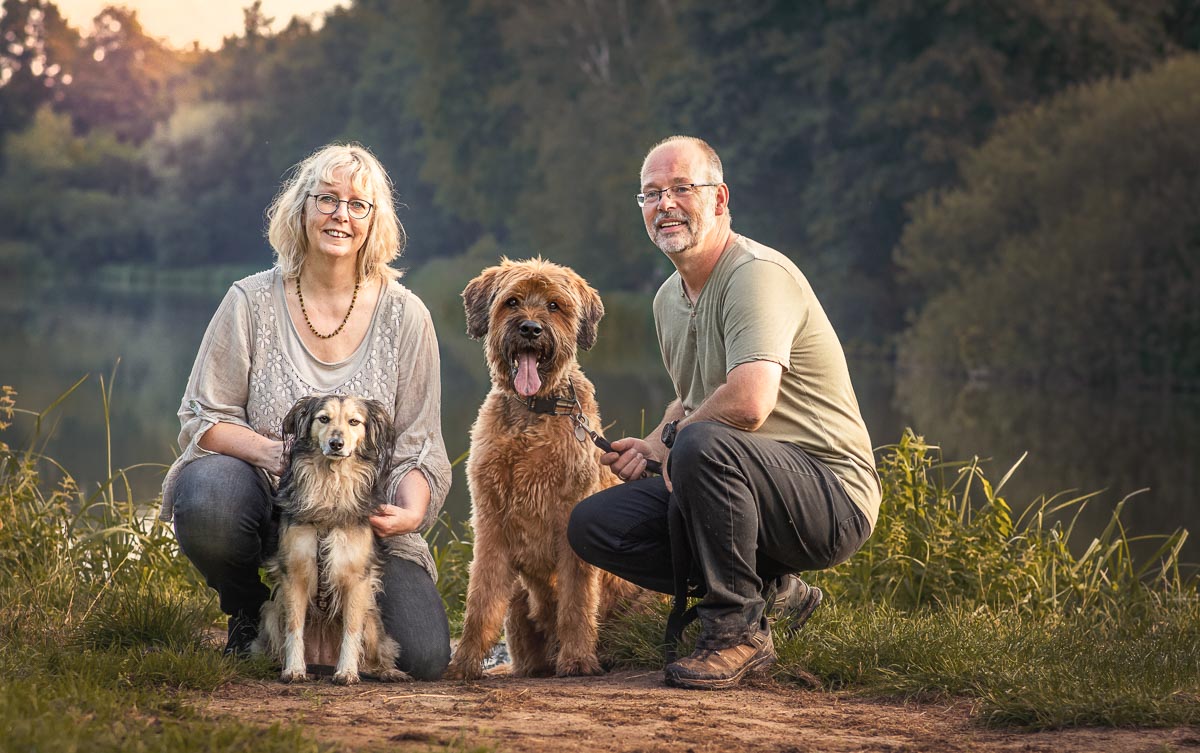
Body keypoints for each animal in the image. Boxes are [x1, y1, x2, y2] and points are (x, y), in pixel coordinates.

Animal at [250, 398, 410, 685]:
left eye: (354, 422)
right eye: (323, 419)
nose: (336, 443)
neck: (330, 484)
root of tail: (321, 662)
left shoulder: (358, 578)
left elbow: (351, 629)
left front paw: (347, 671)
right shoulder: (294, 572)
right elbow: (294, 627)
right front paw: (294, 669)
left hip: (372, 620)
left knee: (378, 654)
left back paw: (388, 672)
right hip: (270, 612)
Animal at [448, 258, 638, 681]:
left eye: (554, 305)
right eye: (512, 301)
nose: (531, 329)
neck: (535, 411)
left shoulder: (571, 527)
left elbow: (576, 602)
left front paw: (578, 659)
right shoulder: (491, 524)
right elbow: (481, 601)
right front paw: (463, 662)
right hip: (519, 603)